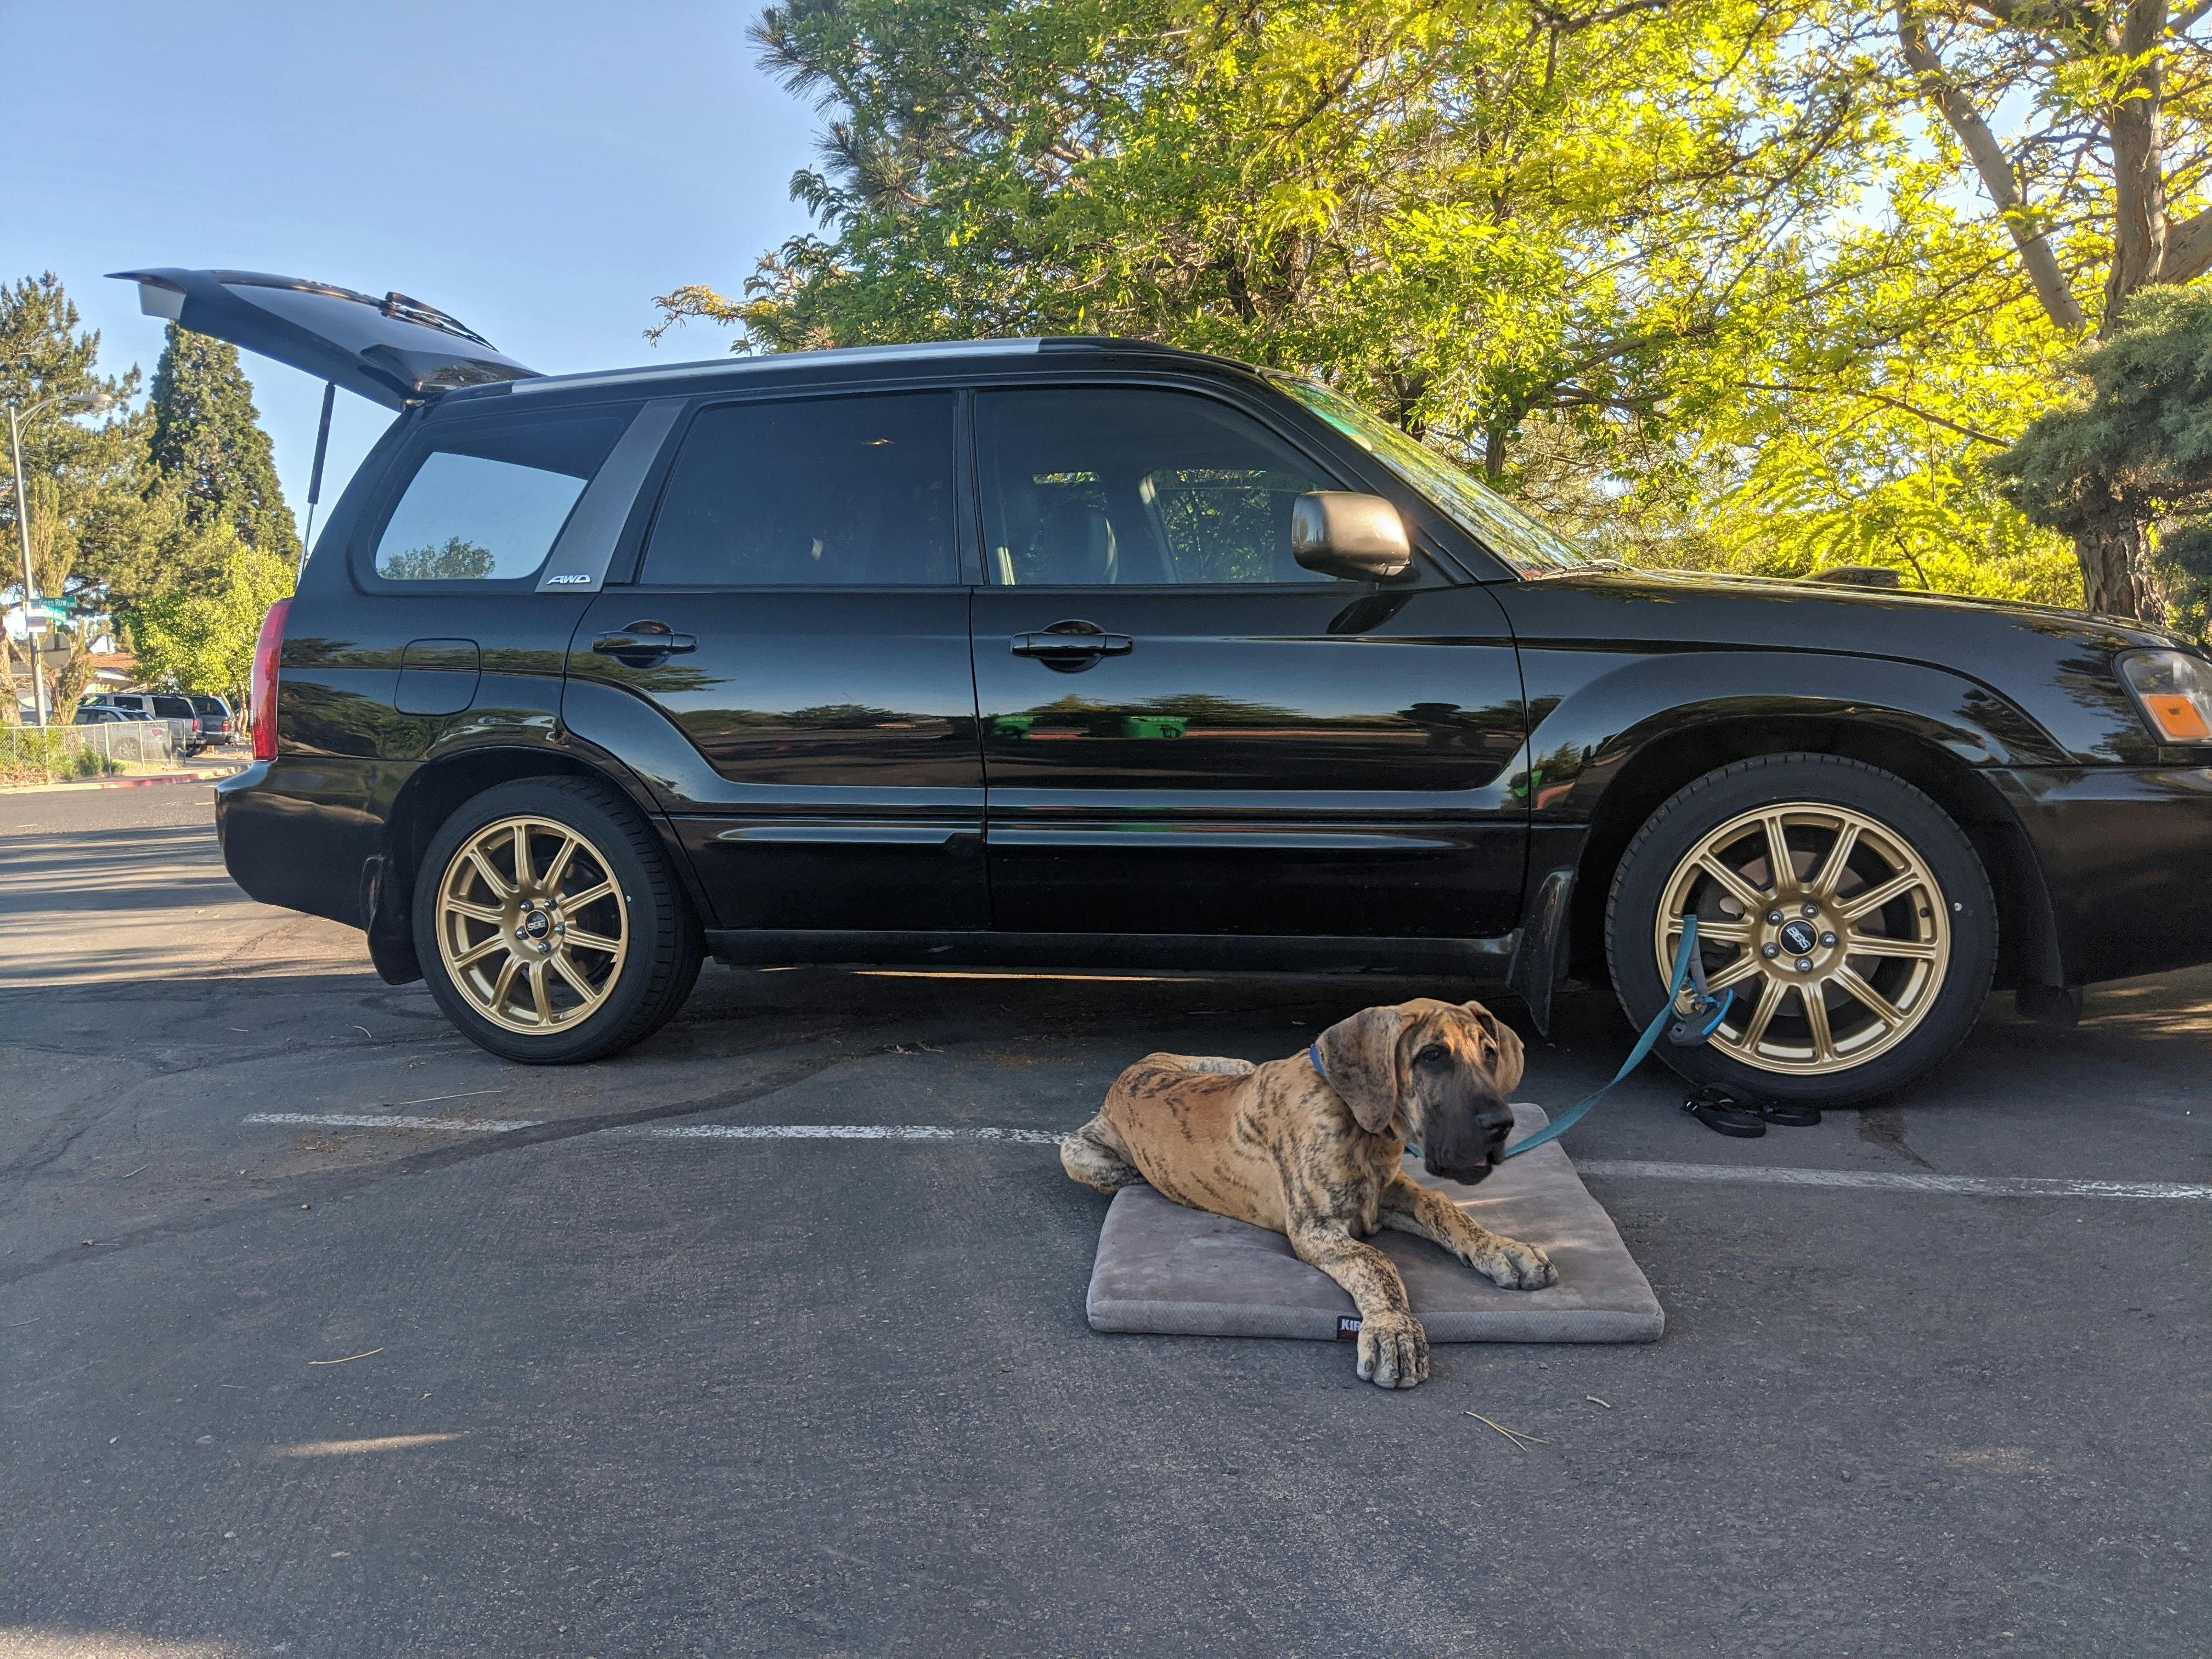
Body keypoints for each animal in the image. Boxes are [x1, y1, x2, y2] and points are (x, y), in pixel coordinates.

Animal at [1066, 1000, 1557, 1389]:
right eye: (1432, 1056)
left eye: (1490, 1054)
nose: (1502, 1125)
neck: (1363, 1125)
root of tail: (1132, 1069)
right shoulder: (1314, 1228)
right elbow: (1375, 1262)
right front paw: (1395, 1330)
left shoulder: (1384, 1194)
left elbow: (1442, 1207)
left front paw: (1504, 1249)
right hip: (1074, 1151)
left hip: (1239, 1066)